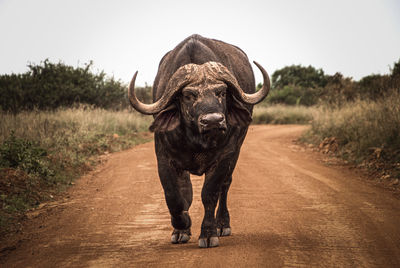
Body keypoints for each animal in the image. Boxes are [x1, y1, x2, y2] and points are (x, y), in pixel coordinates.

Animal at [130, 34, 270, 248]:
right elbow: (175, 195)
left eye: (222, 92)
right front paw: (182, 227)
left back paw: (222, 224)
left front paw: (208, 233)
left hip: (236, 152)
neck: (197, 139)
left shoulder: (224, 157)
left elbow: (209, 194)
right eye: (188, 95)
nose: (213, 120)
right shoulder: (164, 157)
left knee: (225, 185)